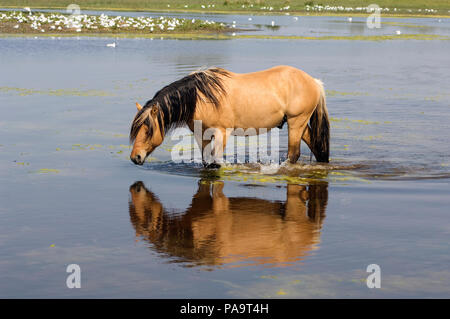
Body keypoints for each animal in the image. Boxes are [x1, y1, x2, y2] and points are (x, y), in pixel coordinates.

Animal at [128, 64, 328, 166]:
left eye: (147, 131)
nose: (135, 157)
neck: (201, 97)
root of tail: (314, 82)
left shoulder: (222, 133)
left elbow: (216, 161)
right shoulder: (201, 135)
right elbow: (207, 161)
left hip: (296, 123)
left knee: (293, 154)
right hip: (300, 124)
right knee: (315, 145)